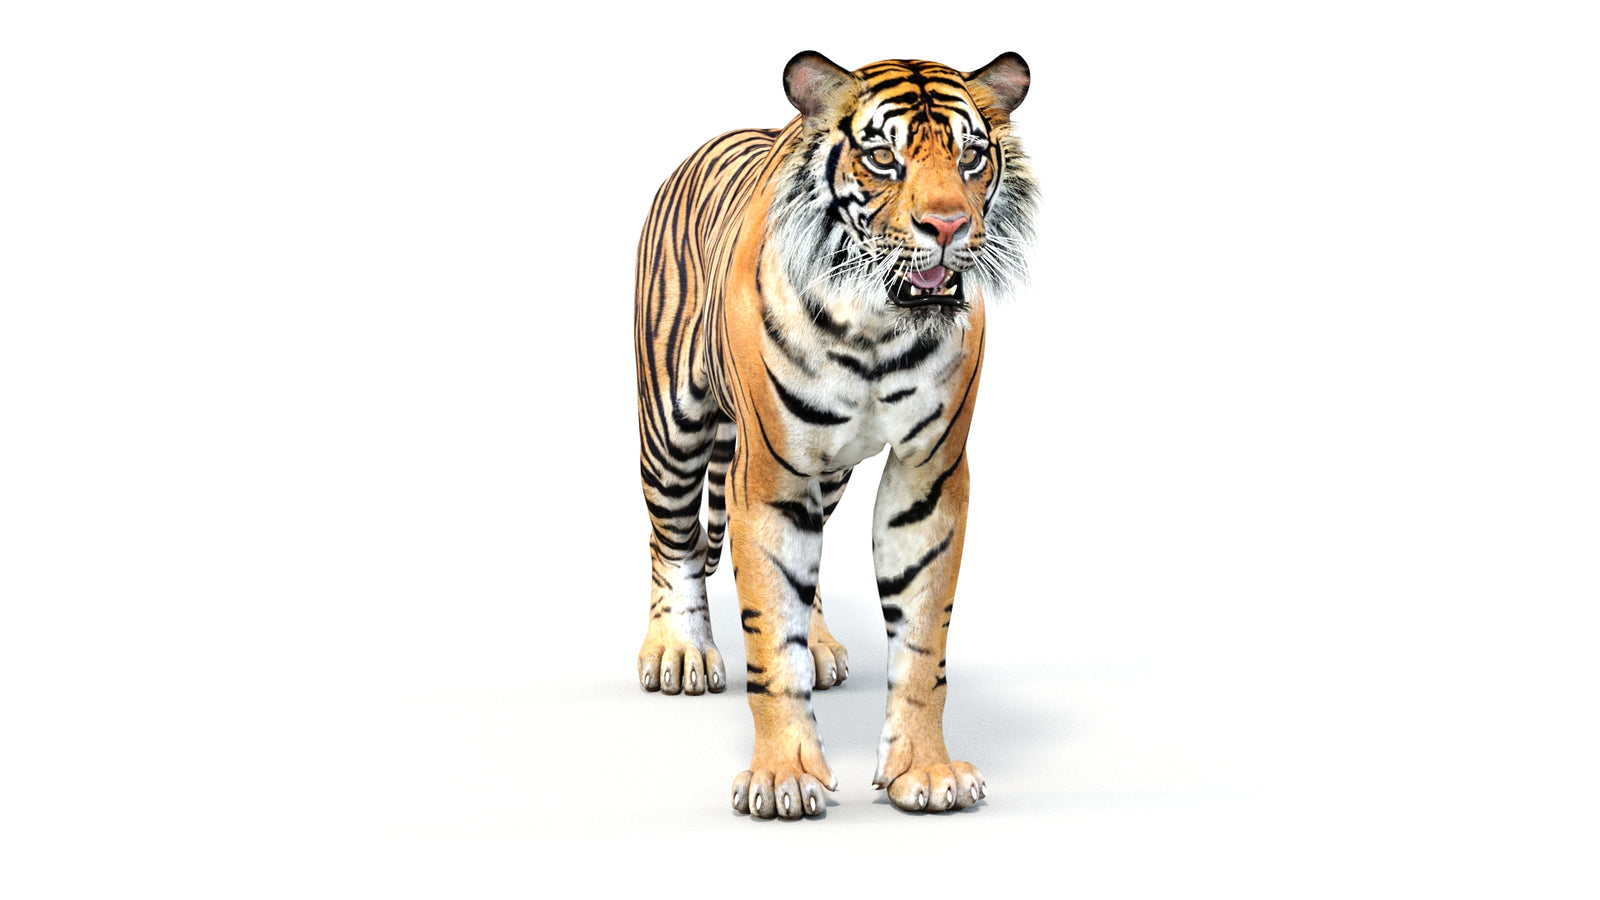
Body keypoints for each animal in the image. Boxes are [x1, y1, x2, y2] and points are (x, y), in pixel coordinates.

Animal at [633, 51, 1036, 818]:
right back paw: (678, 650)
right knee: (672, 539)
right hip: (672, 422)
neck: (875, 322)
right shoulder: (768, 473)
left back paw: (818, 643)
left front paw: (925, 771)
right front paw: (783, 776)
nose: (947, 226)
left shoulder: (928, 472)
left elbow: (921, 640)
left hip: (833, 470)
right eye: (882, 158)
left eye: (970, 157)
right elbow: (768, 633)